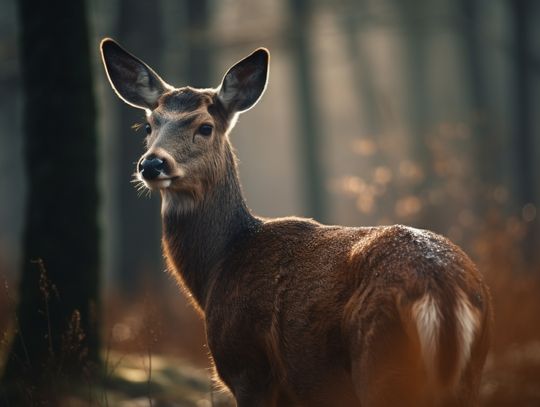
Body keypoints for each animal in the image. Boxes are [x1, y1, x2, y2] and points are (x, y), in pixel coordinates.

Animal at [101, 39, 494, 407]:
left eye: (205, 127)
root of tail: (441, 293)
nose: (152, 164)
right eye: (149, 125)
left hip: (381, 362)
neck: (218, 267)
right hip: (467, 375)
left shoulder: (247, 367)